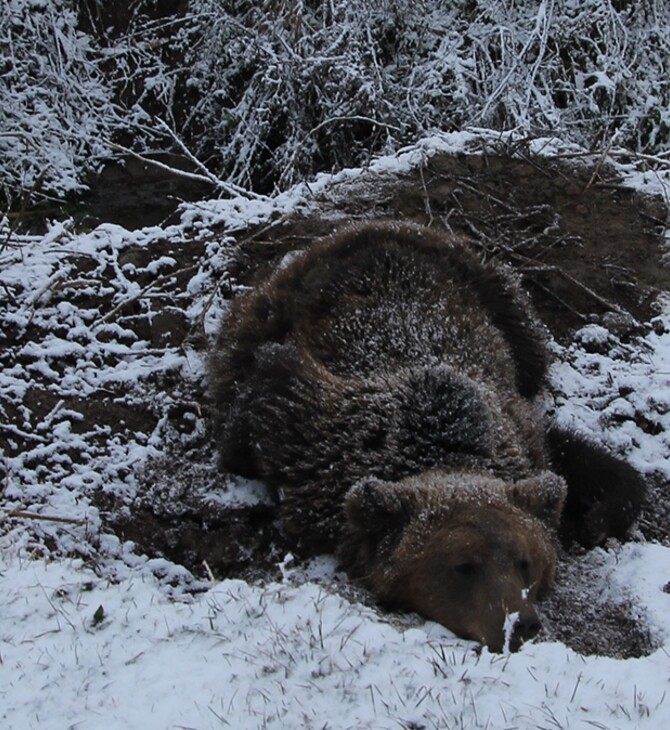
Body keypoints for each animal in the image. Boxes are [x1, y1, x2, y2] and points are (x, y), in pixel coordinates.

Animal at [211, 220, 652, 648]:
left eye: (525, 561)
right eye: (464, 566)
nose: (519, 624)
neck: (442, 444)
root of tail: (372, 225)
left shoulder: (518, 428)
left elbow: (578, 462)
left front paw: (597, 516)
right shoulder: (314, 437)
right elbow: (259, 409)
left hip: (502, 305)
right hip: (267, 311)